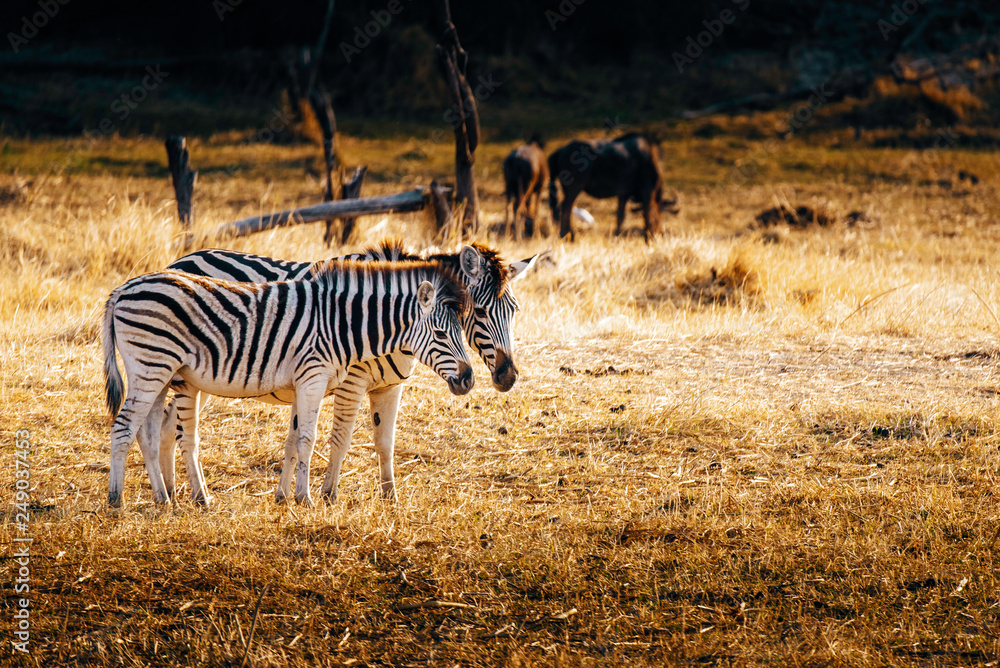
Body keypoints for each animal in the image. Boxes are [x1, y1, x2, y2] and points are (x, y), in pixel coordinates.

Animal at [102, 258, 473, 508]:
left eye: (461, 329)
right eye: (441, 334)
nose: (468, 379)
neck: (341, 323)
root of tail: (122, 289)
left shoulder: (303, 382)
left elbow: (293, 440)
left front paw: (287, 496)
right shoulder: (313, 376)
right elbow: (308, 439)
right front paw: (307, 498)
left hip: (158, 372)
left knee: (146, 432)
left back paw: (164, 499)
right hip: (153, 365)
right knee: (124, 427)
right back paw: (117, 500)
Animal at [162, 239, 539, 505]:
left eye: (515, 310)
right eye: (480, 311)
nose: (508, 377)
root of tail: (178, 261)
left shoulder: (390, 387)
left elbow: (385, 442)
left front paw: (389, 497)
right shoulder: (351, 383)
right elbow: (339, 439)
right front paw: (327, 494)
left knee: (166, 425)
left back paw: (171, 491)